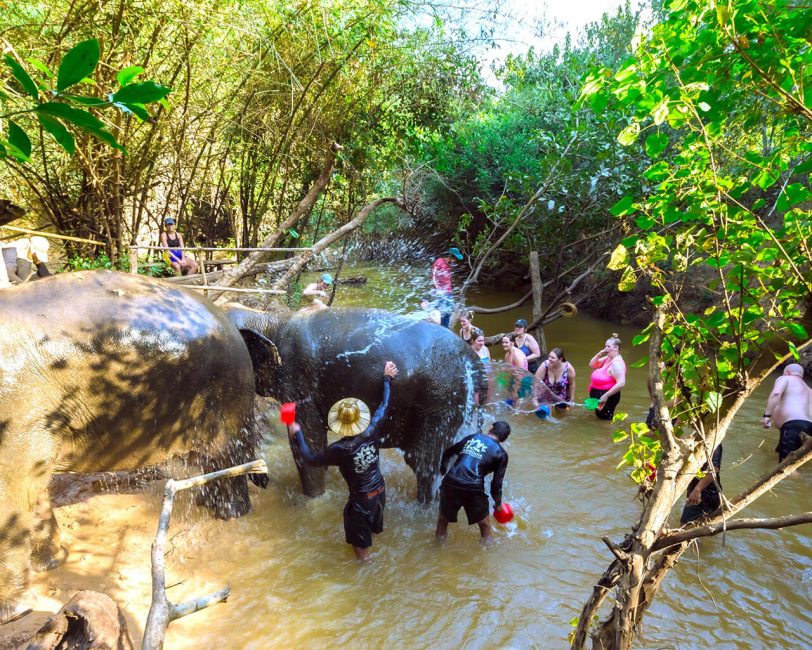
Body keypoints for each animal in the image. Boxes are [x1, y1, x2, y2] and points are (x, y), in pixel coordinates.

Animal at [0, 270, 272, 624]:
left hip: (228, 388)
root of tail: (229, 320)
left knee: (225, 456)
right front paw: (51, 563)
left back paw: (228, 515)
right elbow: (30, 490)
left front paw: (10, 613)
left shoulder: (16, 417)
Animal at [224, 302, 488, 502]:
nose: (263, 480)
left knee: (424, 463)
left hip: (442, 400)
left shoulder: (300, 382)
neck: (270, 321)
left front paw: (312, 502)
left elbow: (307, 444)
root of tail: (474, 363)